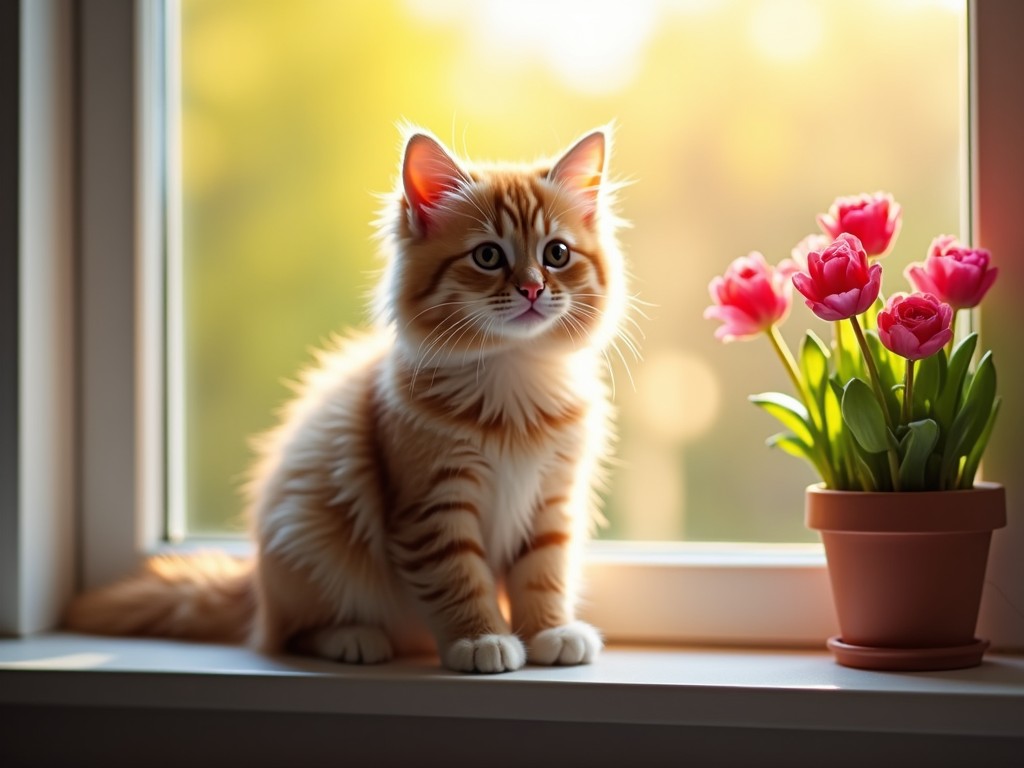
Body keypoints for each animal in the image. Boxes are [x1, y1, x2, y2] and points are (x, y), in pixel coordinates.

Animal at [66, 126, 630, 671]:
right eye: (488, 255)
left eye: (556, 254)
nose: (533, 289)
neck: (514, 377)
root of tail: (256, 588)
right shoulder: (431, 504)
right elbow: (459, 577)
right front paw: (481, 639)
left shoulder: (553, 500)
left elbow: (543, 574)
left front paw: (550, 632)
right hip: (308, 535)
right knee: (288, 634)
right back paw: (352, 638)